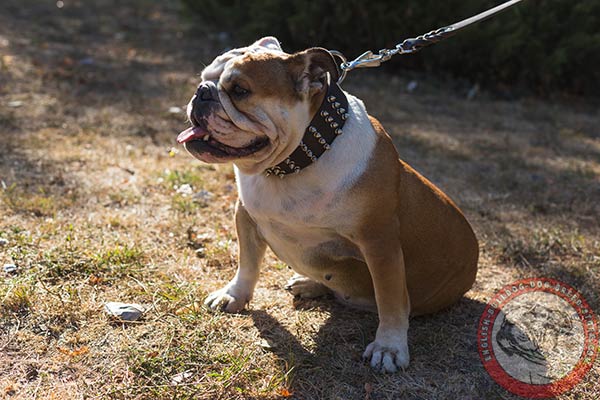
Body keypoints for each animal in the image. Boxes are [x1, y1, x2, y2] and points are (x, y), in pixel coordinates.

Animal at [177, 36, 478, 372]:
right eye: (205, 77)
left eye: (240, 90)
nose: (201, 92)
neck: (297, 161)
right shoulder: (246, 216)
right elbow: (248, 263)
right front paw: (234, 295)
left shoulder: (380, 245)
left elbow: (391, 299)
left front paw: (389, 346)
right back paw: (309, 284)